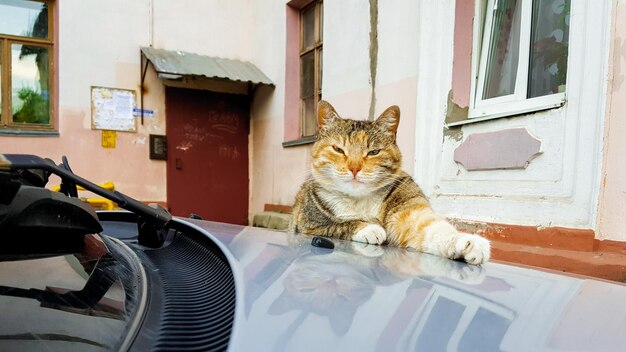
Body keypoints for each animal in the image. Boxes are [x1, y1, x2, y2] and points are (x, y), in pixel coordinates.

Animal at [288, 99, 488, 264]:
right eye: (338, 149)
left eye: (373, 152)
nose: (354, 168)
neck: (360, 201)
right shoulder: (310, 224)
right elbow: (340, 224)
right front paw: (370, 229)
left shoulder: (406, 205)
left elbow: (430, 227)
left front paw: (468, 243)